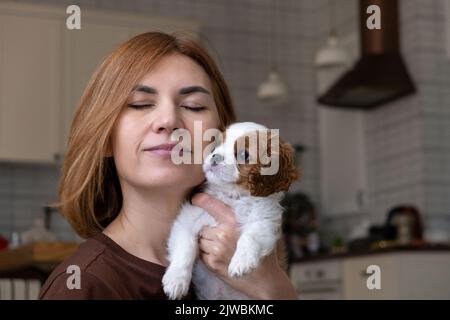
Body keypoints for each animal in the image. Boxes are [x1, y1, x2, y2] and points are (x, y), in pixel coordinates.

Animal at [161, 121, 298, 298]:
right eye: (215, 146)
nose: (215, 156)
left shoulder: (265, 221)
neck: (232, 196)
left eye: (244, 154)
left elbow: (250, 237)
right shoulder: (187, 220)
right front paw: (176, 280)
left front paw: (241, 261)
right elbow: (185, 248)